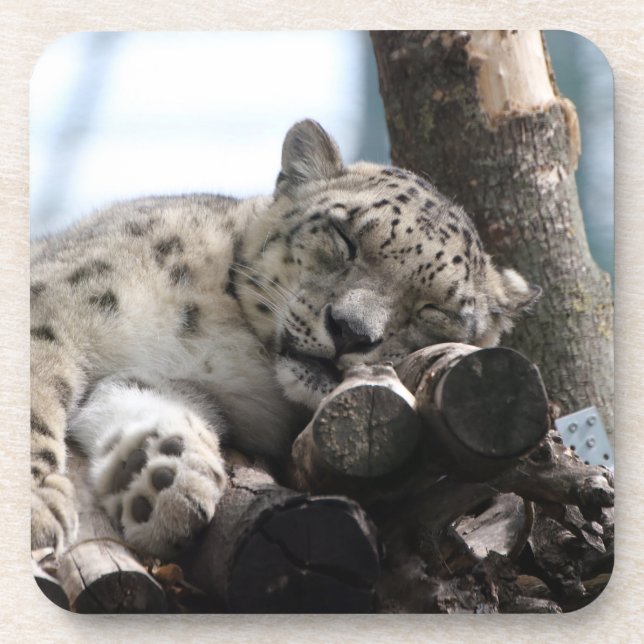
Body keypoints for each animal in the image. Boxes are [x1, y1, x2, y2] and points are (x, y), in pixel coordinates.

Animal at [31, 119, 540, 561]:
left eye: (434, 309)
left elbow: (143, 398)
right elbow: (36, 395)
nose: (351, 331)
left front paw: (162, 477)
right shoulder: (57, 306)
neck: (223, 342)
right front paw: (38, 510)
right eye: (344, 237)